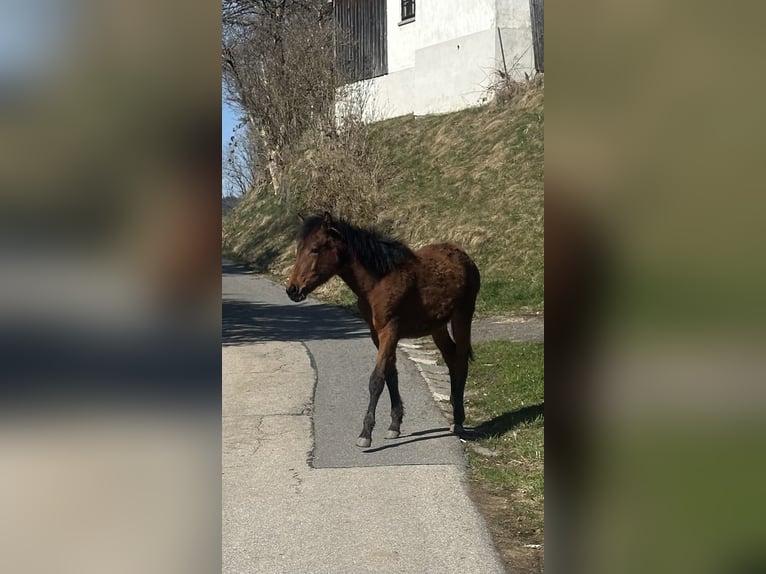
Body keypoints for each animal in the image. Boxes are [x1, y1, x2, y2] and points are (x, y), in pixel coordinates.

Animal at [286, 212, 481, 447]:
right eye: (298, 249)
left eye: (314, 249)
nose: (292, 289)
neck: (379, 281)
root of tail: (464, 257)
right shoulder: (377, 334)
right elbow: (390, 375)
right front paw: (394, 425)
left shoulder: (390, 331)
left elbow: (377, 379)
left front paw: (365, 433)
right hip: (438, 326)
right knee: (451, 358)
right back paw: (454, 411)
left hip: (463, 316)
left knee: (460, 362)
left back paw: (459, 420)